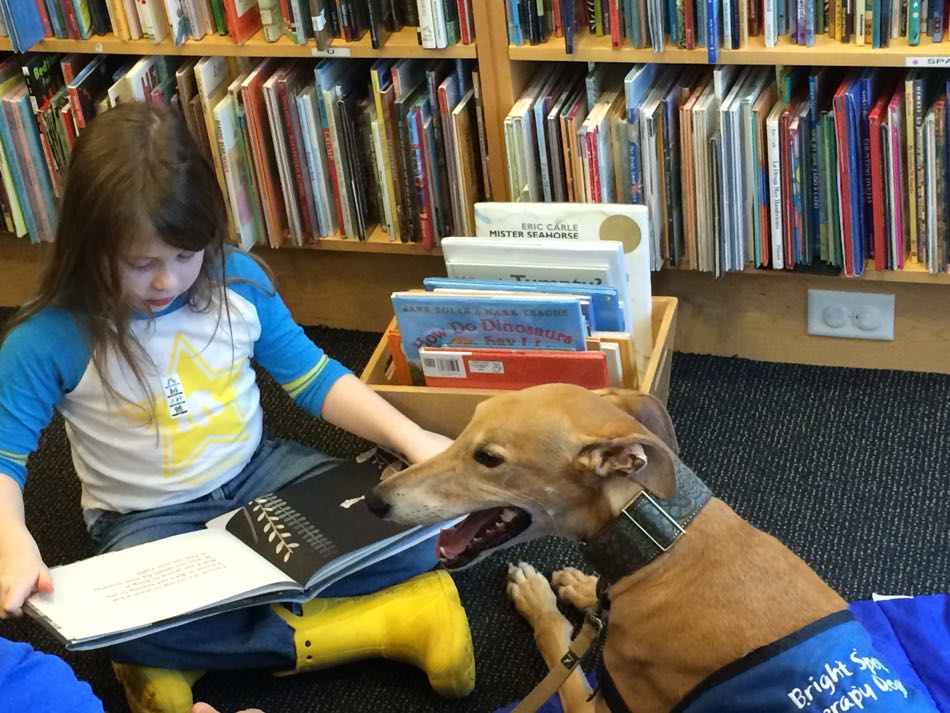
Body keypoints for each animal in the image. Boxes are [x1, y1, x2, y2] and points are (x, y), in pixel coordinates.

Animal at [366, 386, 936, 712]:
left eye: (488, 457)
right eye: (466, 426)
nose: (374, 500)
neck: (663, 542)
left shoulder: (605, 705)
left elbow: (559, 649)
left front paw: (538, 600)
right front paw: (580, 586)